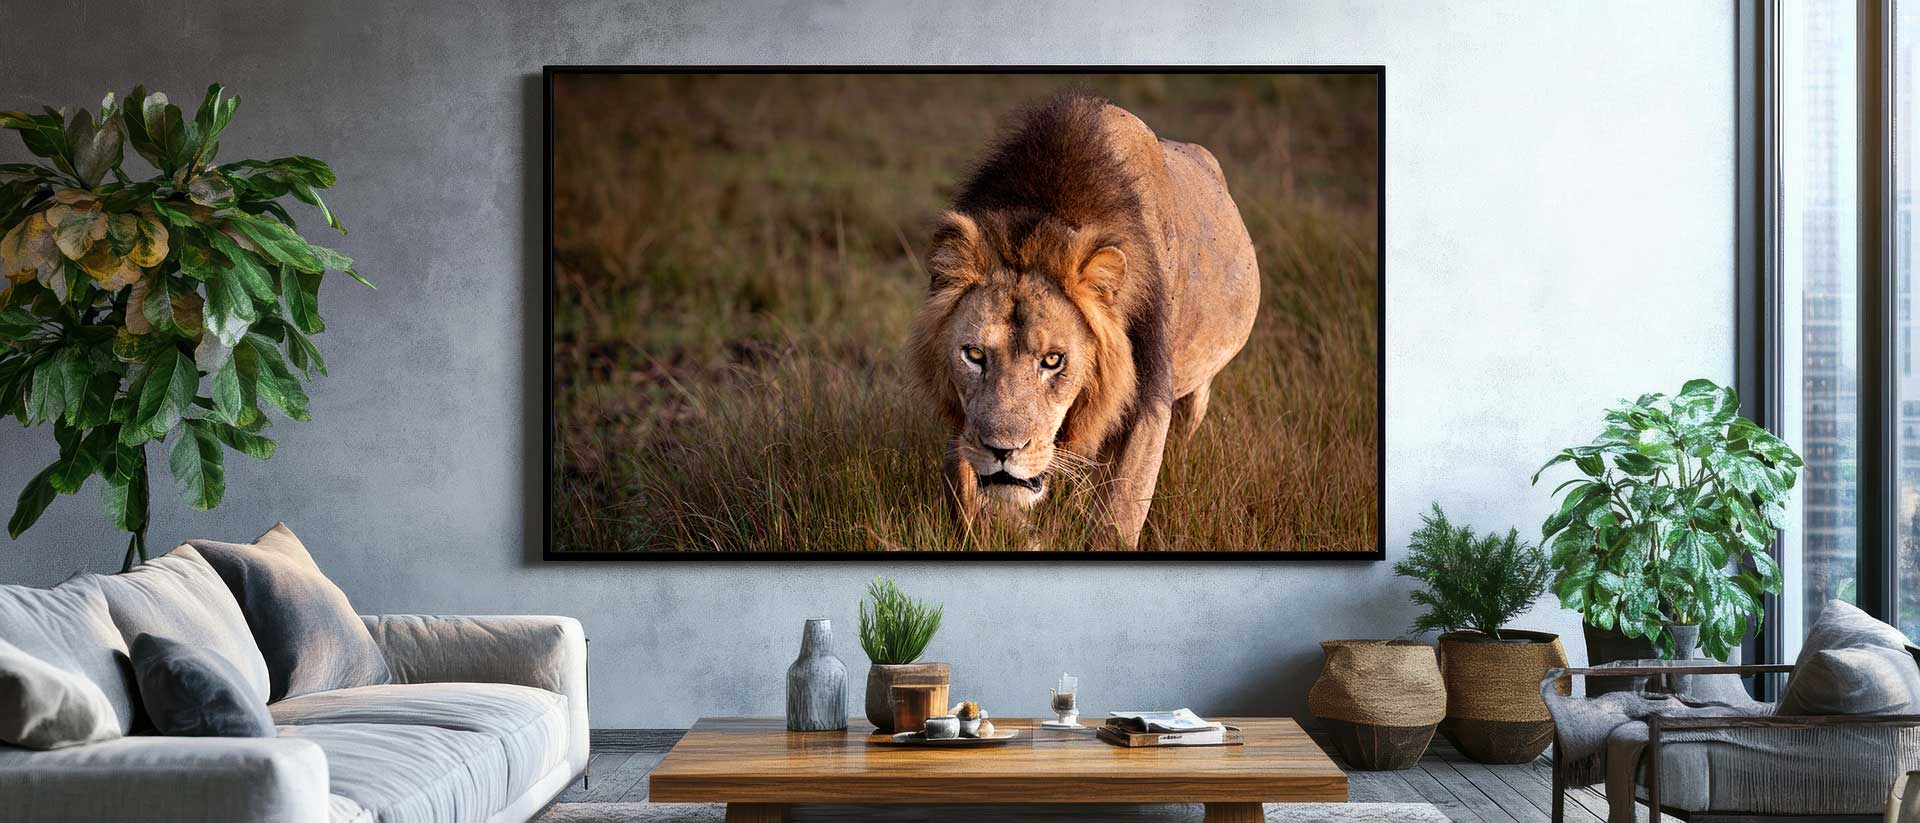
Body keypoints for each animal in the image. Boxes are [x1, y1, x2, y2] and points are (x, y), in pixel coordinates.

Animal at [907, 92, 1260, 550]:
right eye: (974, 355)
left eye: (1053, 360)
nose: (1003, 451)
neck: (1049, 211)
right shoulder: (968, 422)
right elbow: (964, 483)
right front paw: (1014, 530)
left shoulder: (1147, 396)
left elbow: (1120, 510)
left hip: (1197, 388)